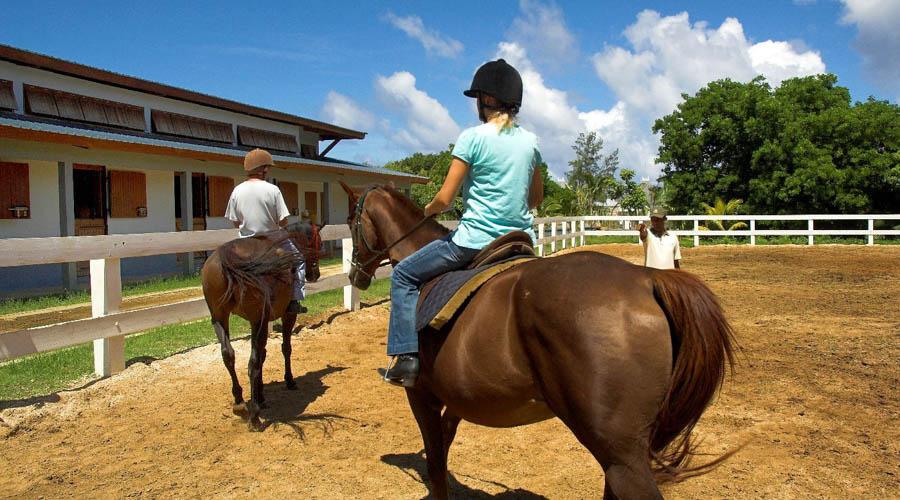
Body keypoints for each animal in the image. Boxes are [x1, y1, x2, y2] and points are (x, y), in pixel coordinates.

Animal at [202, 223, 322, 430]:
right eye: (319, 242)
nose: (315, 274)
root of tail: (227, 255)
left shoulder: (262, 322)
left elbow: (264, 354)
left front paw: (262, 395)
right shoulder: (286, 315)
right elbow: (285, 348)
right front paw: (289, 381)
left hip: (220, 318)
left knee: (229, 355)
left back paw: (240, 402)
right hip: (256, 319)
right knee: (253, 362)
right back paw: (255, 416)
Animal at [342, 184, 736, 500]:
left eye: (350, 223)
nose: (354, 275)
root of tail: (647, 280)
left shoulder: (421, 394)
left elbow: (437, 465)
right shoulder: (455, 399)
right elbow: (444, 447)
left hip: (621, 452)